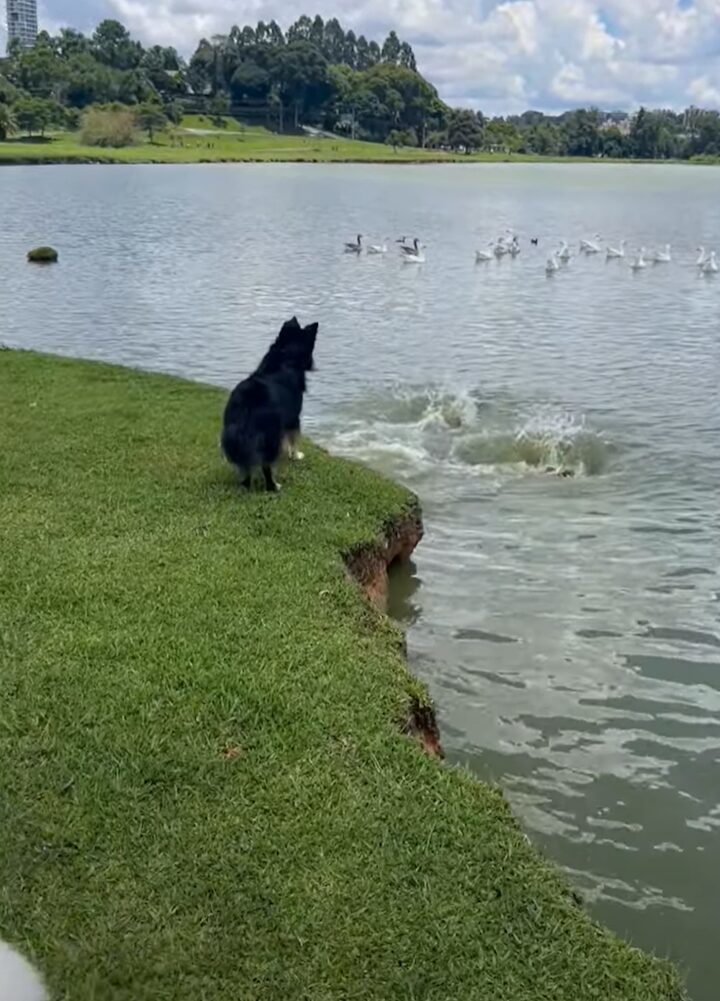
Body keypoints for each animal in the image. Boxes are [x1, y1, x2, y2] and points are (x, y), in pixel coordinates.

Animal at [222, 318, 318, 490]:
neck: (286, 357)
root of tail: (247, 403)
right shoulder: (293, 418)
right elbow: (294, 439)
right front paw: (296, 455)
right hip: (270, 436)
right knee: (266, 465)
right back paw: (274, 486)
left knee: (245, 467)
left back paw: (245, 485)